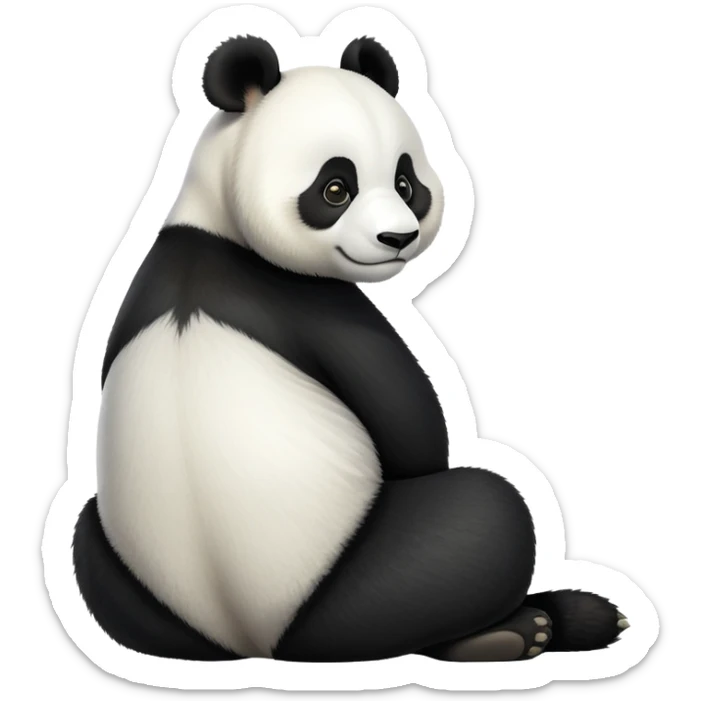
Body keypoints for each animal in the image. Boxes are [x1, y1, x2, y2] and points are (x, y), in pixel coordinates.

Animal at [73, 35, 629, 663]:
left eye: (407, 184)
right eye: (336, 188)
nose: (399, 238)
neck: (212, 222)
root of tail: (254, 642)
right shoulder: (306, 302)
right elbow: (411, 427)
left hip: (133, 581)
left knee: (87, 537)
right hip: (363, 580)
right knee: (483, 520)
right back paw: (515, 631)